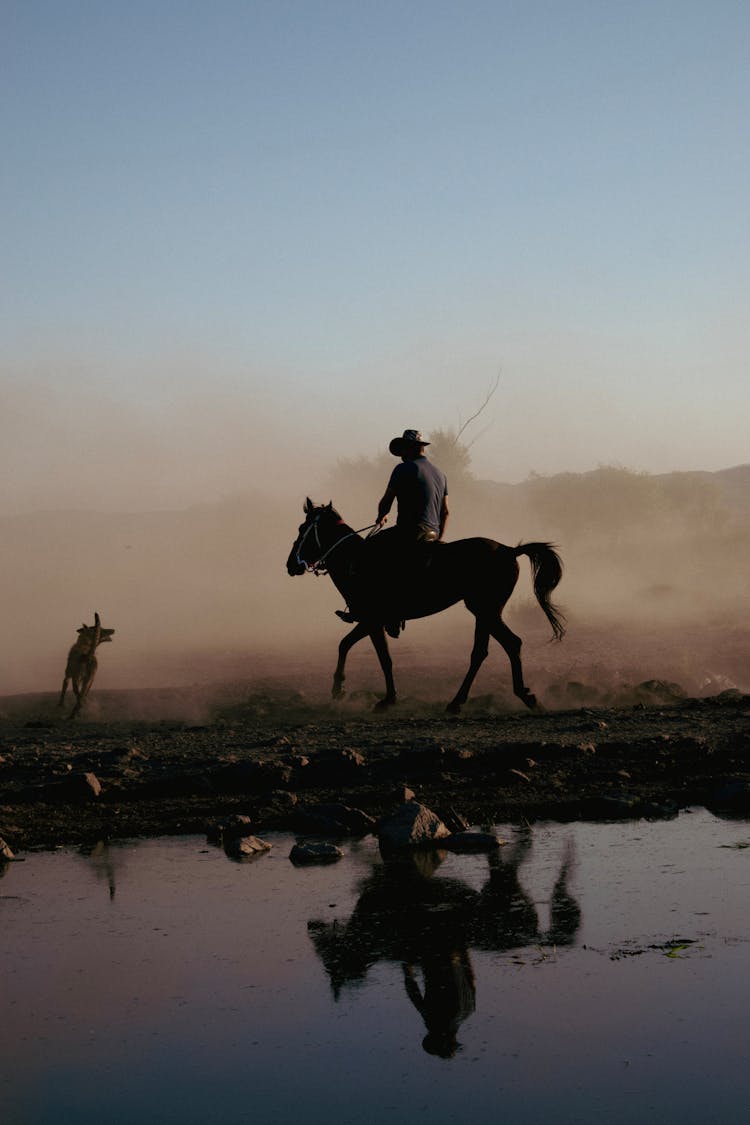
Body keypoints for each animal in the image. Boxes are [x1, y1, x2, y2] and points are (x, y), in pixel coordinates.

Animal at [287, 501, 562, 711]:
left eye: (302, 528)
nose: (291, 564)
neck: (354, 560)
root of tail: (509, 550)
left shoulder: (373, 620)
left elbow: (382, 657)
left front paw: (386, 699)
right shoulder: (369, 620)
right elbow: (345, 644)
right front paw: (339, 688)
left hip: (485, 610)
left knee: (503, 645)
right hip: (485, 612)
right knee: (491, 649)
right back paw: (481, 699)